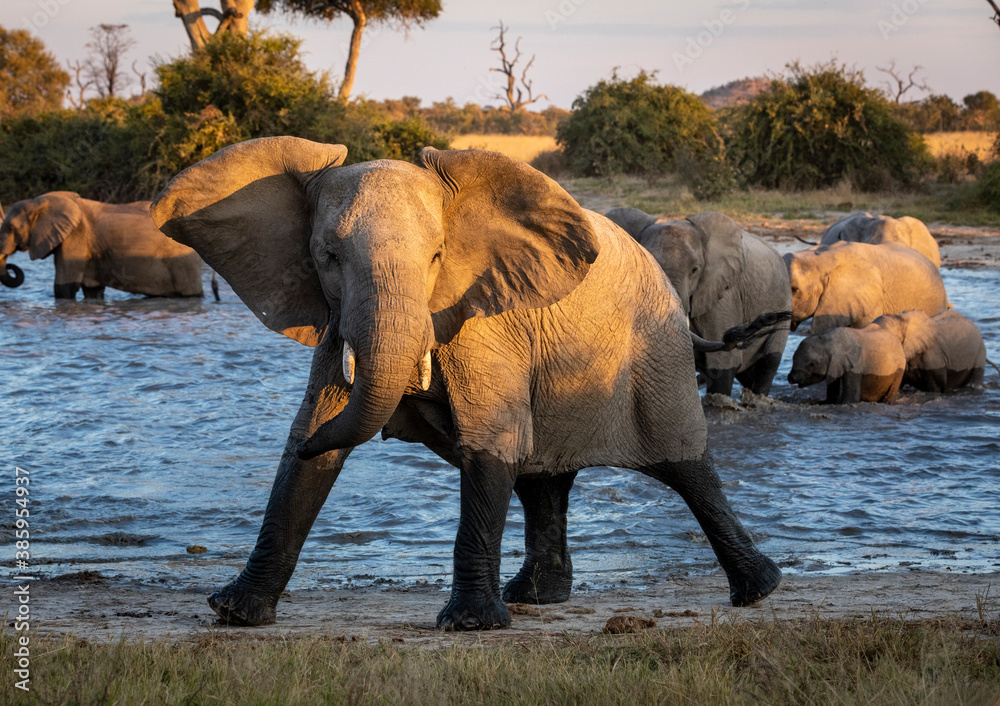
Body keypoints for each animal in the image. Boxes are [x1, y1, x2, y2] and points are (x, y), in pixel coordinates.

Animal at [0, 191, 204, 299]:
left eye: (10, 228)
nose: (10, 265)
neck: (40, 202)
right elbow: (92, 291)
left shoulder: (76, 237)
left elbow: (64, 288)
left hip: (182, 261)